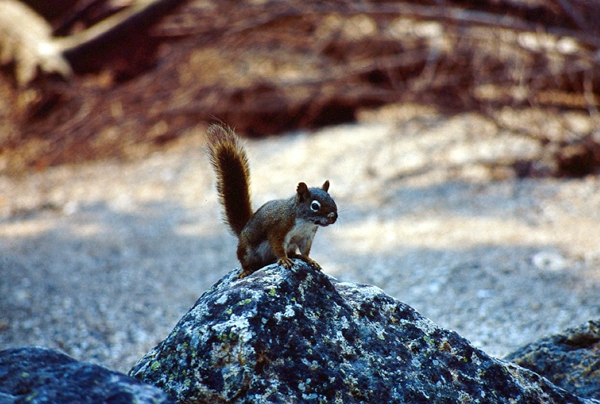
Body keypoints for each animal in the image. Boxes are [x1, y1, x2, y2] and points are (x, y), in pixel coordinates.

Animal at [206, 124, 338, 280]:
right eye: (315, 206)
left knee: (292, 252)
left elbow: (305, 251)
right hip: (247, 250)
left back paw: (296, 256)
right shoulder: (278, 229)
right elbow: (278, 247)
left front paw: (309, 260)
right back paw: (246, 270)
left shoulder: (306, 237)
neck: (305, 222)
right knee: (244, 260)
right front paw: (284, 259)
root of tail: (243, 229)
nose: (333, 217)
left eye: (332, 199)